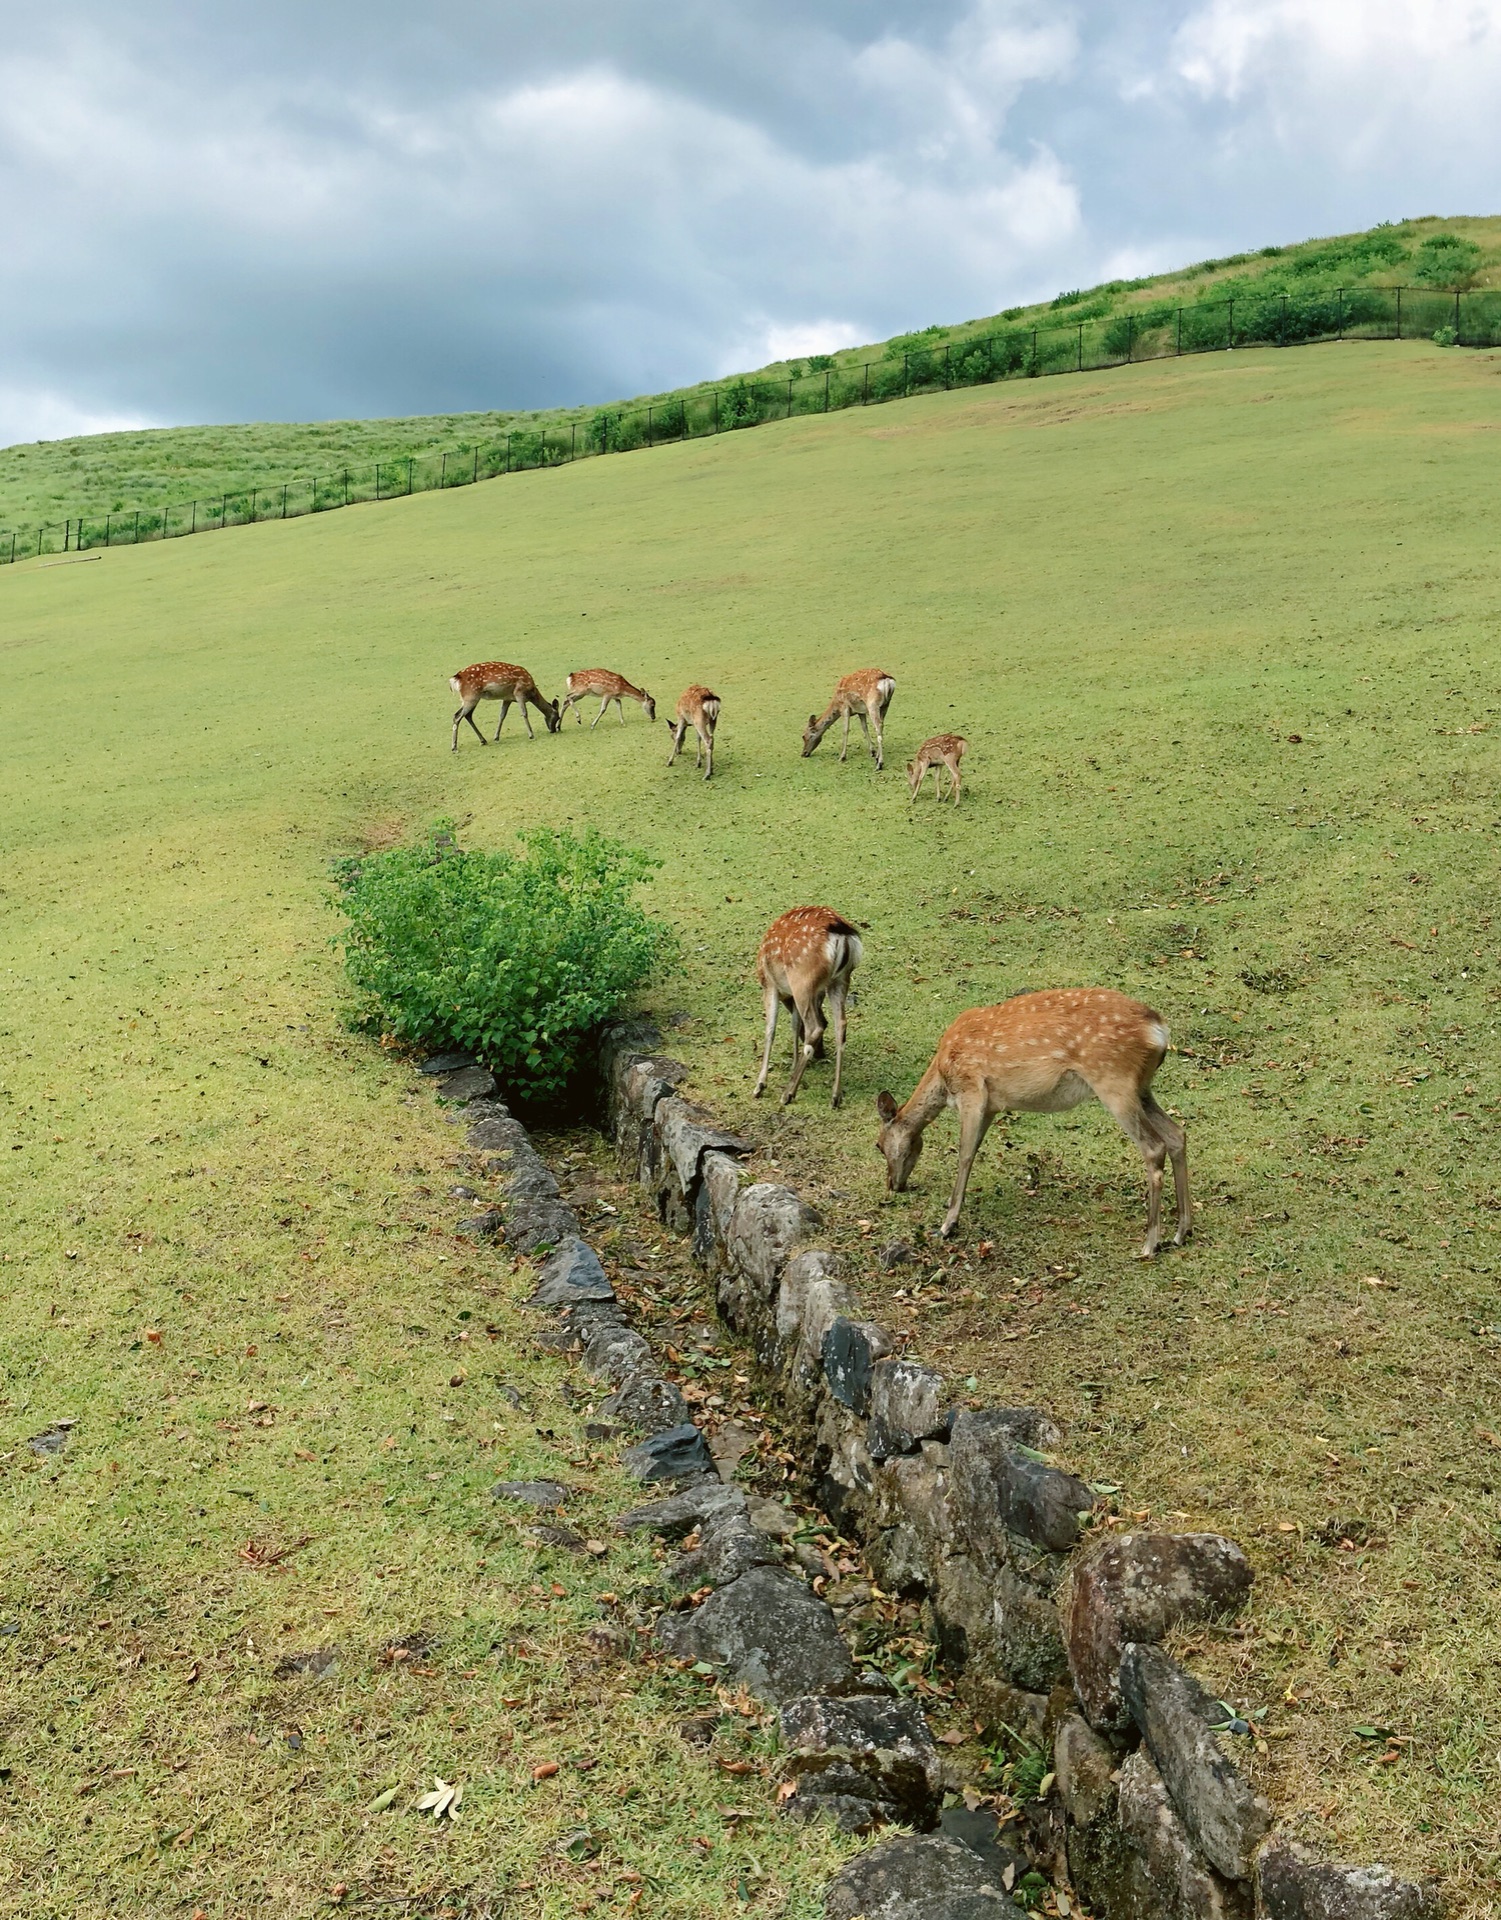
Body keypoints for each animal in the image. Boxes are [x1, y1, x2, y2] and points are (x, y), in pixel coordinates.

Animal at [752, 902, 871, 1105]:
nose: (821, 1053)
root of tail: (841, 932)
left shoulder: (769, 984)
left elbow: (770, 1029)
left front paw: (760, 1085)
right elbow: (795, 1024)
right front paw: (793, 1065)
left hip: (802, 978)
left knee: (814, 1026)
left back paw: (788, 1093)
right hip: (840, 979)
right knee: (840, 1024)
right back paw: (835, 1095)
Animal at [875, 990, 1190, 1259]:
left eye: (878, 1145)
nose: (893, 1185)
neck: (943, 1077)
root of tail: (1159, 1030)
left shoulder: (971, 1090)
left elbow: (964, 1156)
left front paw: (946, 1225)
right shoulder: (991, 1106)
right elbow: (973, 1151)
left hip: (1114, 1080)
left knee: (1153, 1146)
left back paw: (1150, 1244)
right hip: (1142, 1087)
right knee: (1177, 1134)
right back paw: (1181, 1232)